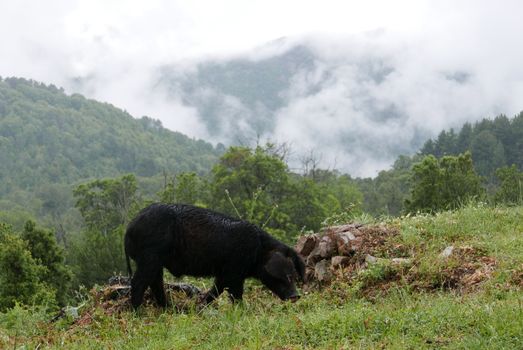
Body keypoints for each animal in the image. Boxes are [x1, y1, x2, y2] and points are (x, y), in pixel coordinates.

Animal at [124, 204, 304, 308]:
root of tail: (129, 227)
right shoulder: (234, 272)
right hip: (149, 256)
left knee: (155, 283)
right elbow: (235, 294)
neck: (258, 252)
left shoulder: (224, 273)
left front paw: (200, 307)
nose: (296, 296)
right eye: (285, 276)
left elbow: (216, 290)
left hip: (155, 261)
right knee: (139, 282)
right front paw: (242, 311)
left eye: (294, 275)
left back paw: (170, 309)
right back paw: (137, 312)